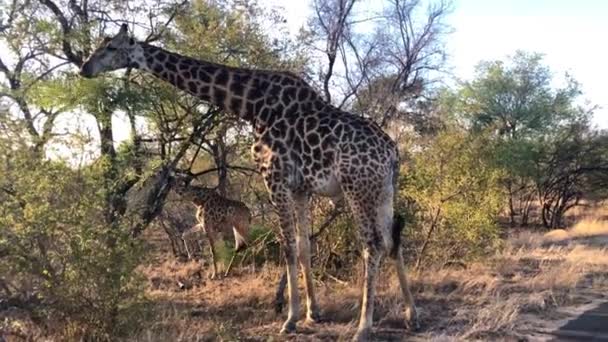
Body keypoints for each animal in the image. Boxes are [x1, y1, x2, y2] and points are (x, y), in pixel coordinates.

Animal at [81, 23, 418, 340]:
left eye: (111, 47)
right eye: (100, 44)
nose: (85, 68)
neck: (250, 104)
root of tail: (392, 152)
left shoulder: (274, 177)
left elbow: (287, 246)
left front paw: (290, 319)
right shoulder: (301, 188)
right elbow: (304, 245)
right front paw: (313, 313)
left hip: (356, 188)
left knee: (373, 244)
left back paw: (363, 327)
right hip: (383, 191)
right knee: (392, 240)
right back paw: (410, 315)